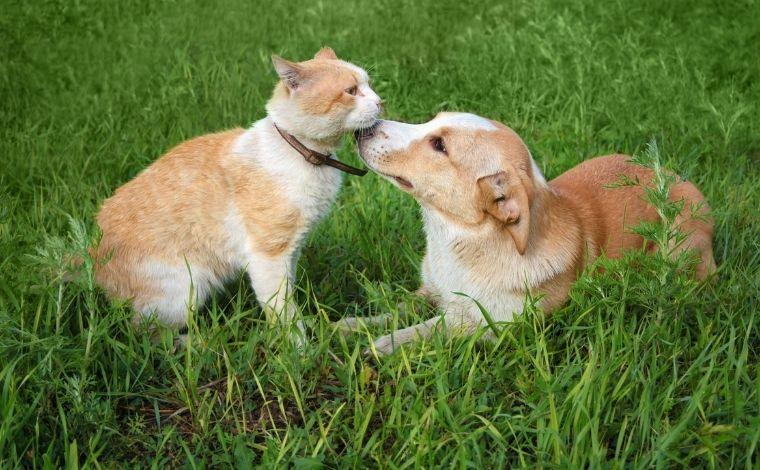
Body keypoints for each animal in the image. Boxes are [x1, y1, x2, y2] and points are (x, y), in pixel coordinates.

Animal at [93, 48, 380, 342]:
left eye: (369, 85)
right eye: (351, 91)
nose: (380, 102)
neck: (306, 154)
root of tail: (92, 258)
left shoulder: (292, 251)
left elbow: (289, 298)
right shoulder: (268, 256)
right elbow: (284, 313)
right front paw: (300, 348)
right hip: (185, 290)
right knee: (145, 334)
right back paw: (203, 341)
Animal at [342, 112, 716, 354]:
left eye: (438, 145)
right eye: (431, 121)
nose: (363, 129)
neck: (460, 240)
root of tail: (674, 175)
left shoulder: (494, 327)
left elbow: (436, 327)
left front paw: (389, 342)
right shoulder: (430, 290)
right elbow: (400, 306)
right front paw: (350, 325)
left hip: (677, 246)